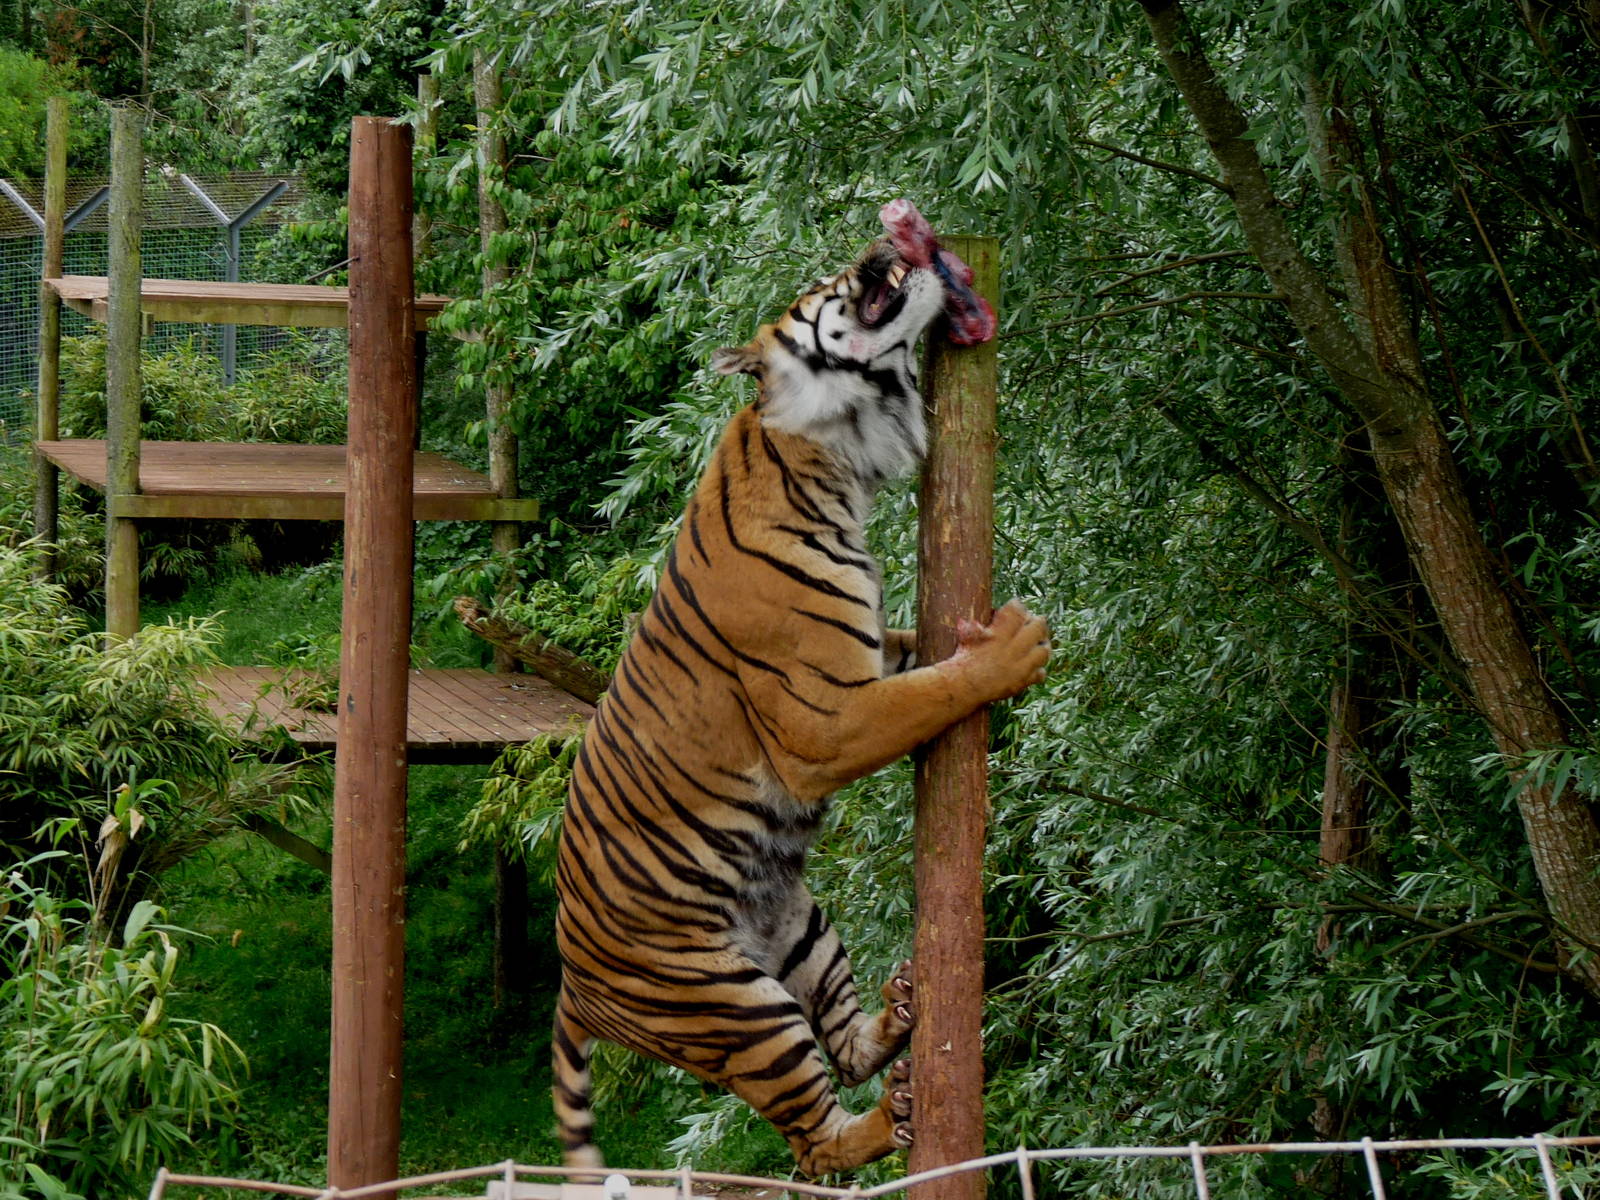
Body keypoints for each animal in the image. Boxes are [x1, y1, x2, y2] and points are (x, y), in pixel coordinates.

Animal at [551, 232, 1051, 1177]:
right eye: (826, 284)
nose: (882, 242)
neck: (835, 456)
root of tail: (571, 987)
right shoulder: (825, 721)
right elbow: (935, 688)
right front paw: (1016, 648)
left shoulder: (868, 659)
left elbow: (919, 665)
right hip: (735, 1007)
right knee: (816, 1146)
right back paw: (885, 1120)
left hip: (800, 927)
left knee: (846, 1049)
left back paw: (901, 1017)